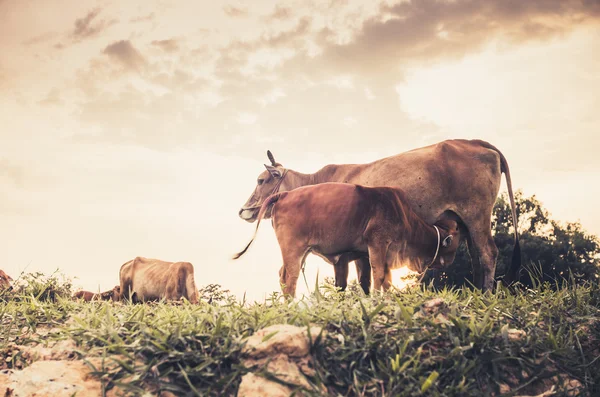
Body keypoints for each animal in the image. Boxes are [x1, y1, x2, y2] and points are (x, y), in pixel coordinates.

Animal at [233, 181, 460, 296]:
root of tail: (285, 194)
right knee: (290, 279)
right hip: (293, 249)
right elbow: (379, 276)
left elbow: (381, 280)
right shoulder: (377, 243)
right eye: (454, 246)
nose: (450, 263)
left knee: (283, 275)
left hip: (302, 251)